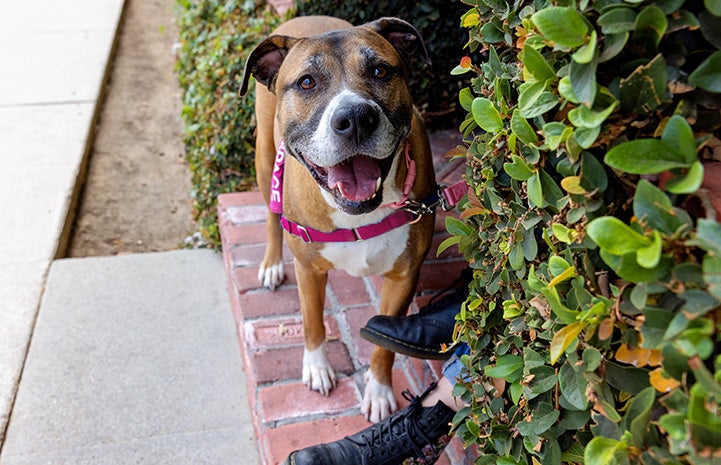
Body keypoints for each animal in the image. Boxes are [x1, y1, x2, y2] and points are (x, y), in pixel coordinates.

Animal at [240, 15, 434, 420]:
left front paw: (378, 390)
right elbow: (313, 322)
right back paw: (270, 264)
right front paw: (316, 368)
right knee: (270, 214)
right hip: (264, 160)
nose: (356, 118)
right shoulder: (309, 270)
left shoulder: (404, 276)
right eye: (306, 82)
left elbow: (384, 345)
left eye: (379, 71)